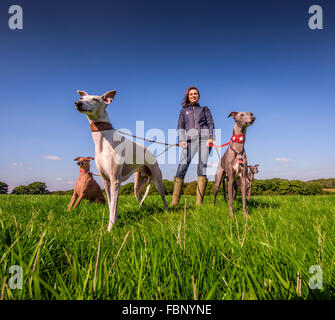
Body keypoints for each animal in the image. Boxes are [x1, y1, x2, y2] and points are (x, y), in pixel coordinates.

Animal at [73, 89, 168, 231]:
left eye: (95, 99)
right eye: (81, 98)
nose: (77, 103)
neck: (103, 140)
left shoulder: (115, 180)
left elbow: (113, 207)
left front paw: (110, 228)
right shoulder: (106, 181)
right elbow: (111, 204)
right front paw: (113, 222)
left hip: (157, 180)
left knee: (163, 197)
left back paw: (168, 210)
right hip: (137, 185)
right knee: (141, 199)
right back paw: (142, 210)